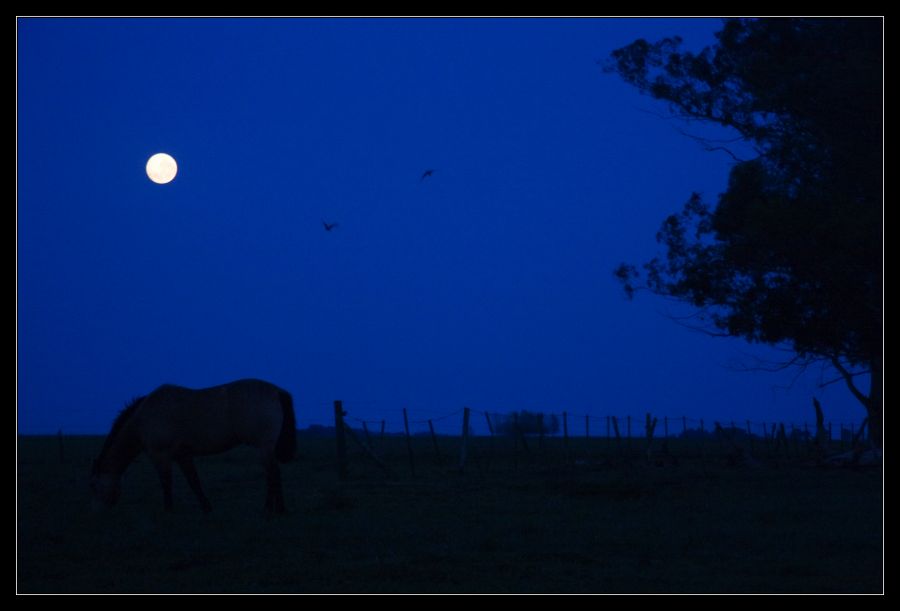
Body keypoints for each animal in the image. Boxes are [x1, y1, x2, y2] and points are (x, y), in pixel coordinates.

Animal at [90, 380, 298, 512]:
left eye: (94, 488)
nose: (101, 511)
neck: (144, 419)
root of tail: (276, 391)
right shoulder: (182, 456)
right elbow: (194, 481)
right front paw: (206, 508)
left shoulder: (160, 456)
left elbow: (166, 483)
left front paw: (168, 511)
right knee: (272, 474)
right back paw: (277, 509)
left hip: (264, 447)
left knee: (273, 474)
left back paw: (271, 509)